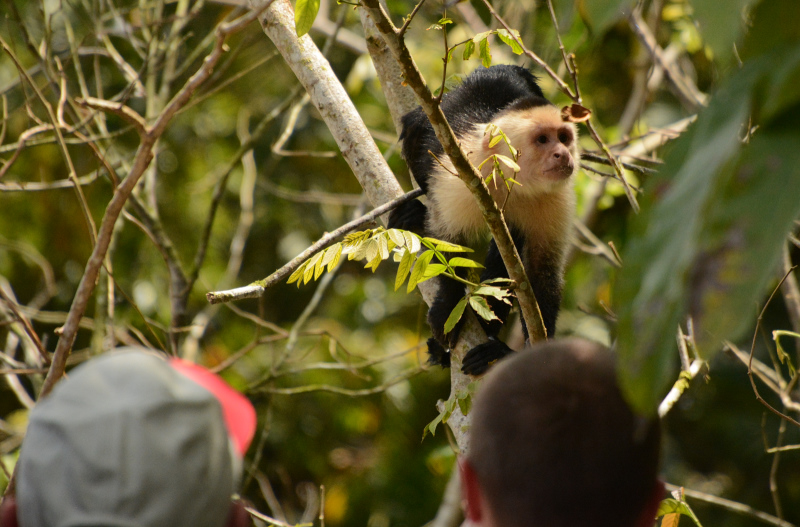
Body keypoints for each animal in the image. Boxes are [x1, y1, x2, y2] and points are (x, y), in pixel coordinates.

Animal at [390, 65, 580, 376]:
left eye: (563, 138)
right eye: (542, 140)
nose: (562, 154)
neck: (515, 182)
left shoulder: (555, 199)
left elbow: (542, 273)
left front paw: (529, 353)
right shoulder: (460, 177)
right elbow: (447, 238)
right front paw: (448, 307)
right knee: (416, 128)